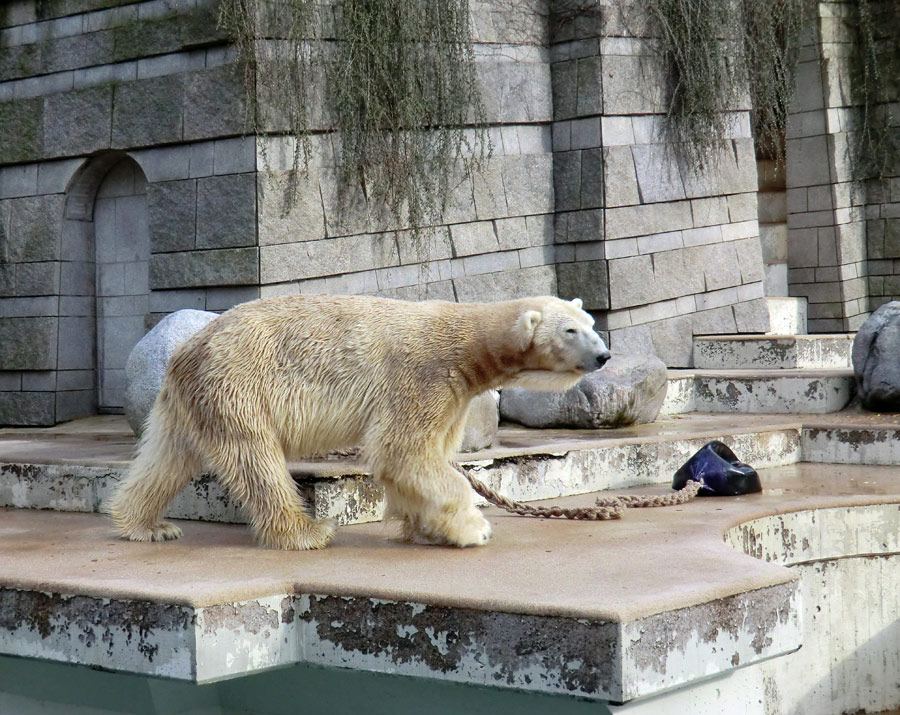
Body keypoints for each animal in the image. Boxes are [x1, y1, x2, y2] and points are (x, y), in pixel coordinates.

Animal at [105, 294, 612, 552]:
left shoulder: (455, 394)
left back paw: (145, 524)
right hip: (239, 383)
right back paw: (308, 532)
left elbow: (418, 460)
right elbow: (403, 450)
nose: (604, 355)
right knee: (256, 460)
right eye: (571, 330)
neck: (466, 343)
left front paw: (428, 529)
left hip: (189, 399)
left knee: (168, 455)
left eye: (590, 322)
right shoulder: (424, 375)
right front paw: (474, 529)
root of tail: (186, 349)